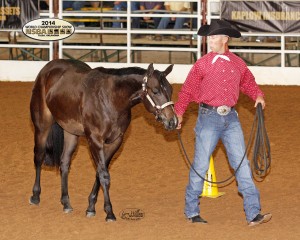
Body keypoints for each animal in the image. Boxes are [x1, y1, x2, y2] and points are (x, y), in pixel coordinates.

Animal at [29, 59, 177, 221]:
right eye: (155, 91)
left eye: (170, 90)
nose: (173, 121)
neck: (110, 99)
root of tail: (48, 68)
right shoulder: (95, 140)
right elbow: (104, 175)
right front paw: (109, 212)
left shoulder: (115, 142)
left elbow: (100, 172)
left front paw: (91, 207)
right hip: (42, 126)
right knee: (39, 157)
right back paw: (35, 196)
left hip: (70, 132)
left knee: (64, 163)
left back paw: (66, 203)